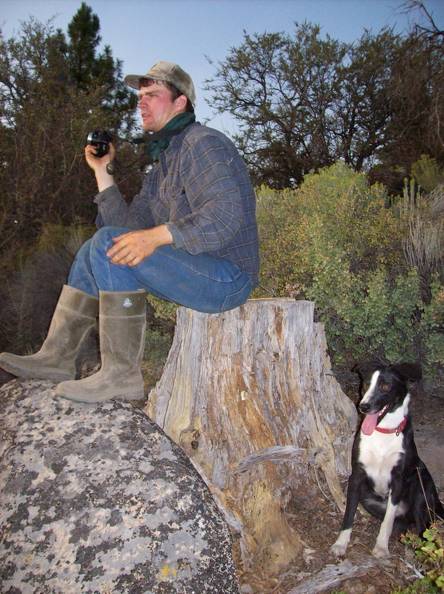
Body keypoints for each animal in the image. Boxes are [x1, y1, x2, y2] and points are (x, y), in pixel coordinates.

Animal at [332, 358, 442, 556]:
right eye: (366, 384)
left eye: (385, 386)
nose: (363, 407)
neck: (382, 432)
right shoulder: (357, 476)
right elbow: (349, 513)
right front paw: (341, 543)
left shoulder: (397, 480)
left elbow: (387, 521)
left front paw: (381, 547)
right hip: (369, 499)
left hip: (421, 488)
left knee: (423, 528)